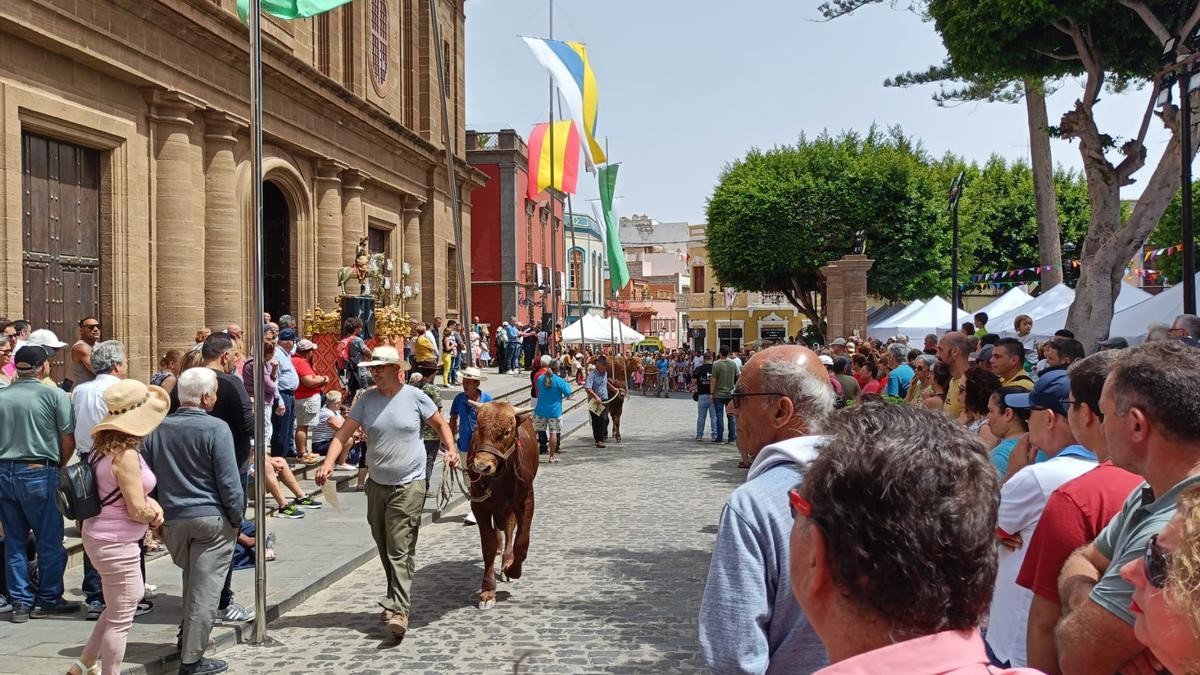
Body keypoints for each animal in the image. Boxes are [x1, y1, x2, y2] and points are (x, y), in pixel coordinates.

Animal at [465, 396, 537, 607]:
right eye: (478, 428)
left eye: (507, 432)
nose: (482, 466)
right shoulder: (479, 505)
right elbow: (487, 545)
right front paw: (488, 591)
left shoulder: (526, 502)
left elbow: (522, 541)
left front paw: (513, 569)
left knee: (510, 528)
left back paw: (507, 560)